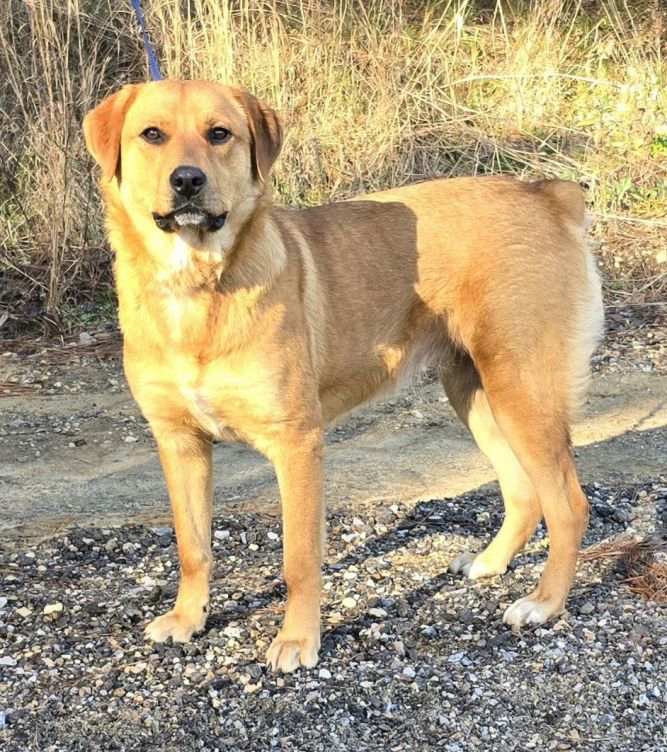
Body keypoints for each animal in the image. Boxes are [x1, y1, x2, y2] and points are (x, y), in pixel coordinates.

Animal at [83, 79, 604, 672]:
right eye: (152, 134)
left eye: (220, 134)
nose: (188, 181)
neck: (197, 287)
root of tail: (549, 195)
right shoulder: (179, 442)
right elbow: (194, 547)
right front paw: (189, 619)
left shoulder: (297, 443)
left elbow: (299, 559)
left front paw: (297, 639)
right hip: (477, 394)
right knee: (523, 494)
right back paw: (489, 563)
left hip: (523, 394)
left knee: (568, 506)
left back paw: (544, 603)